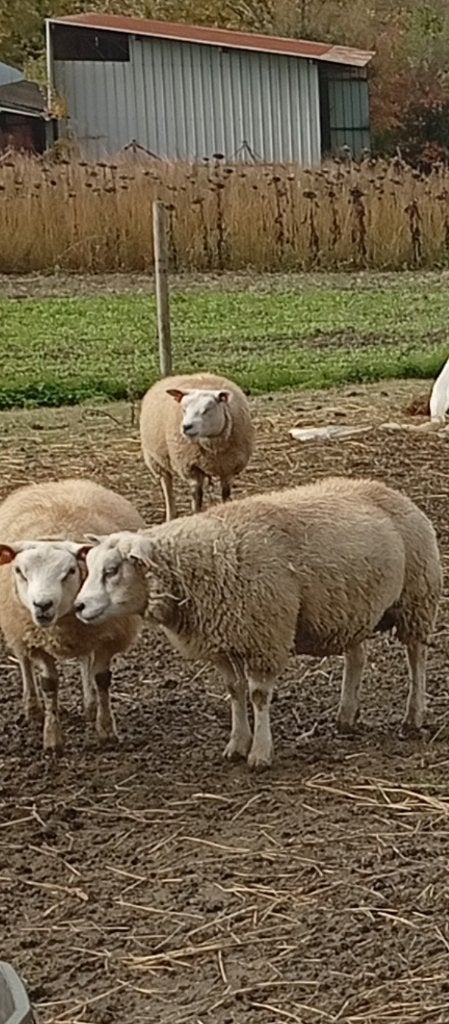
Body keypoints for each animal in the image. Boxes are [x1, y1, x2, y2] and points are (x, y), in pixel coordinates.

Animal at [0, 478, 145, 754]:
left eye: (69, 571)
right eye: (20, 571)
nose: (42, 605)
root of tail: (55, 483)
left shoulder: (108, 634)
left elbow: (101, 678)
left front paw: (106, 730)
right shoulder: (34, 637)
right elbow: (49, 684)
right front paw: (52, 738)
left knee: (85, 658)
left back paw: (90, 705)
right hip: (16, 629)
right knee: (23, 661)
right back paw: (32, 709)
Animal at [74, 476, 442, 770]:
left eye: (112, 570)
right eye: (90, 568)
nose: (78, 606)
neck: (205, 561)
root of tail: (385, 488)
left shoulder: (264, 638)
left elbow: (259, 696)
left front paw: (260, 754)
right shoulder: (222, 642)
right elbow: (235, 692)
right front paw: (236, 744)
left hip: (416, 598)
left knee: (416, 656)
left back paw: (413, 716)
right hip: (351, 607)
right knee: (357, 657)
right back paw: (346, 716)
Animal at [139, 372, 254, 519]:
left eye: (207, 409)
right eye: (183, 409)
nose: (186, 427)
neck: (212, 448)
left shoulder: (229, 468)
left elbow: (226, 495)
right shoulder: (191, 468)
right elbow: (197, 500)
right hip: (156, 461)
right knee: (167, 487)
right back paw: (171, 515)